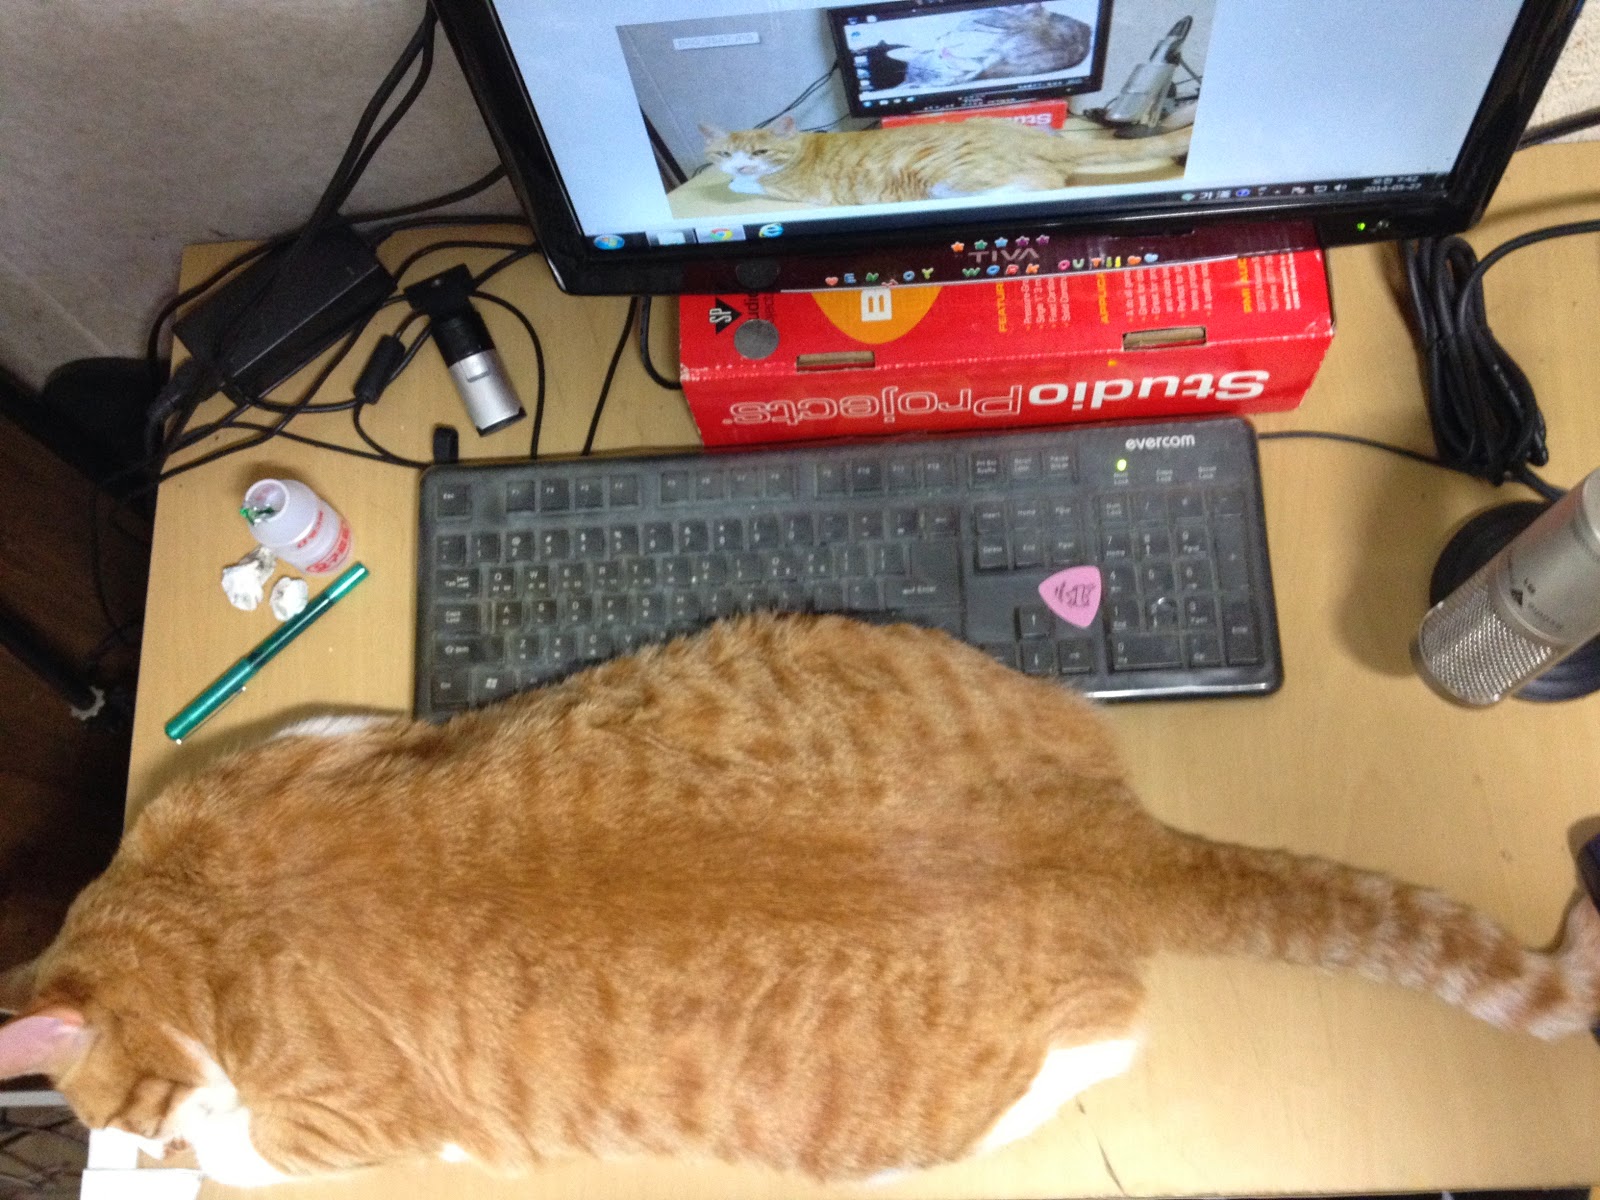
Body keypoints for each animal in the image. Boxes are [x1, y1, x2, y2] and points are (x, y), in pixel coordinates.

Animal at [0, 614, 1596, 1188]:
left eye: (119, 1107)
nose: (134, 1131)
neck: (201, 921)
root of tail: (1108, 840)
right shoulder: (320, 735)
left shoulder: (345, 1128)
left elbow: (259, 1152)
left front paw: (178, 1151)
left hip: (931, 1117)